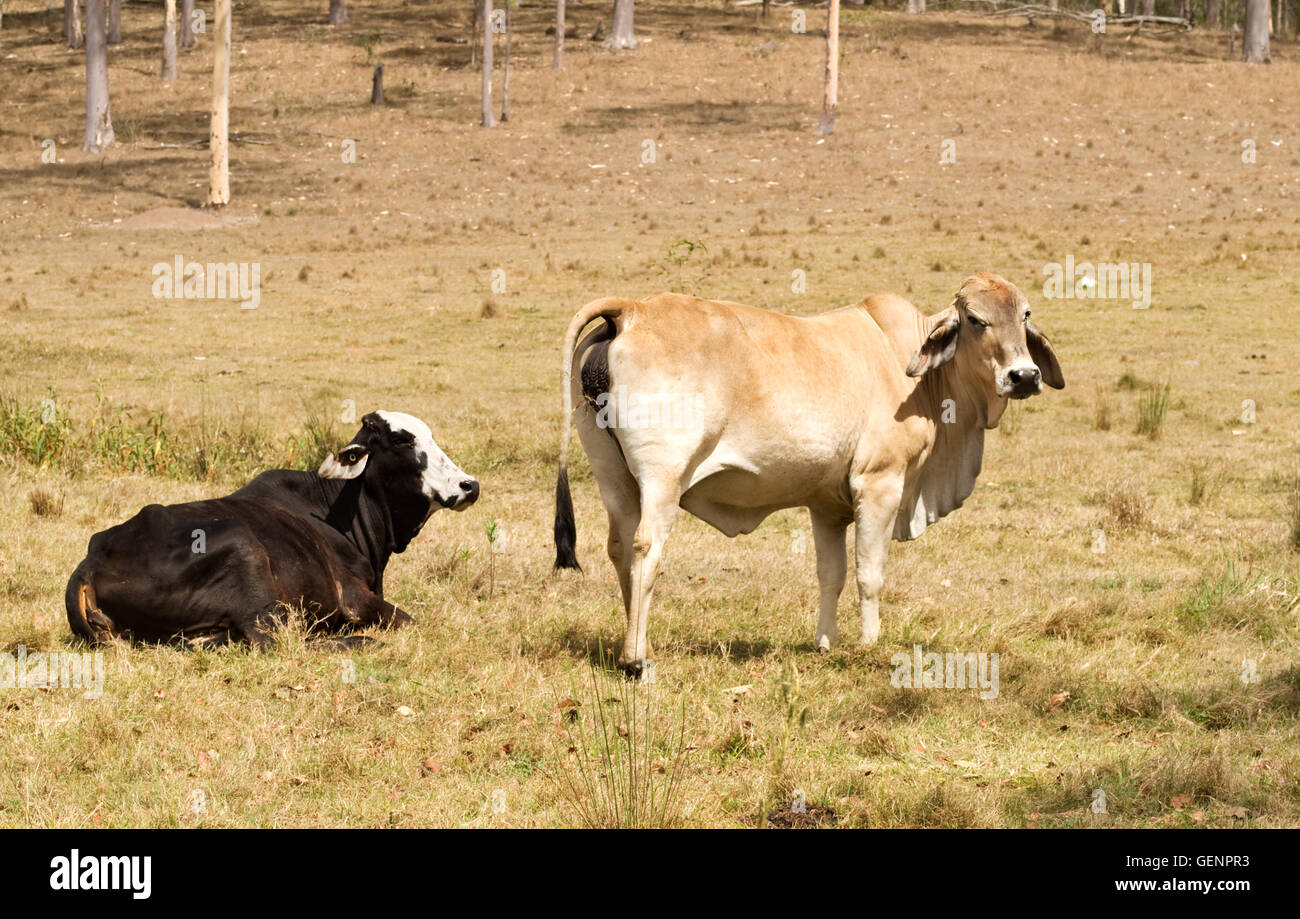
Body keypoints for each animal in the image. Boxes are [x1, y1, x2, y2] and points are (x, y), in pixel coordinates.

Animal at [63, 410, 480, 647]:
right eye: (400, 439)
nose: (469, 485)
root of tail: (90, 563)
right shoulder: (354, 599)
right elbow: (409, 621)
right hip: (244, 555)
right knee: (274, 641)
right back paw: (359, 642)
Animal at [553, 272, 1060, 675]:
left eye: (1025, 314)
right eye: (975, 318)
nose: (1024, 376)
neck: (916, 374)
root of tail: (632, 310)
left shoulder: (827, 506)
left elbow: (830, 575)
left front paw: (826, 643)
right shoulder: (879, 484)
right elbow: (869, 573)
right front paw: (869, 643)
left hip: (614, 478)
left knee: (619, 548)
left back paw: (637, 645)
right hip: (663, 476)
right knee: (645, 548)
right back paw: (637, 659)